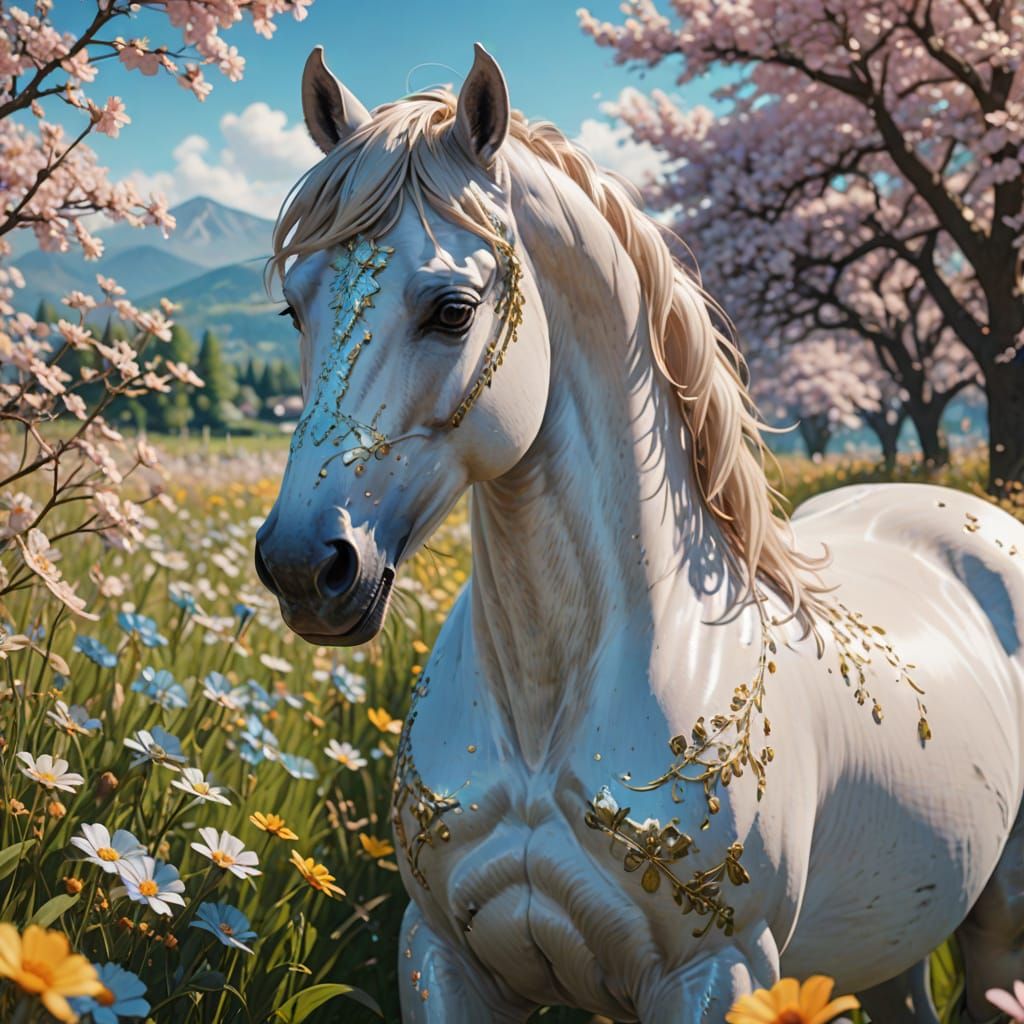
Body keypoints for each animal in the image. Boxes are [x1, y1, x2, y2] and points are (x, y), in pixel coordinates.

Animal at [253, 44, 1024, 1023]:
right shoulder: (440, 957)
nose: (304, 567)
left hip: (999, 927)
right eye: (295, 309)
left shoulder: (720, 971)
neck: (549, 709)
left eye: (453, 310)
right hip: (890, 942)